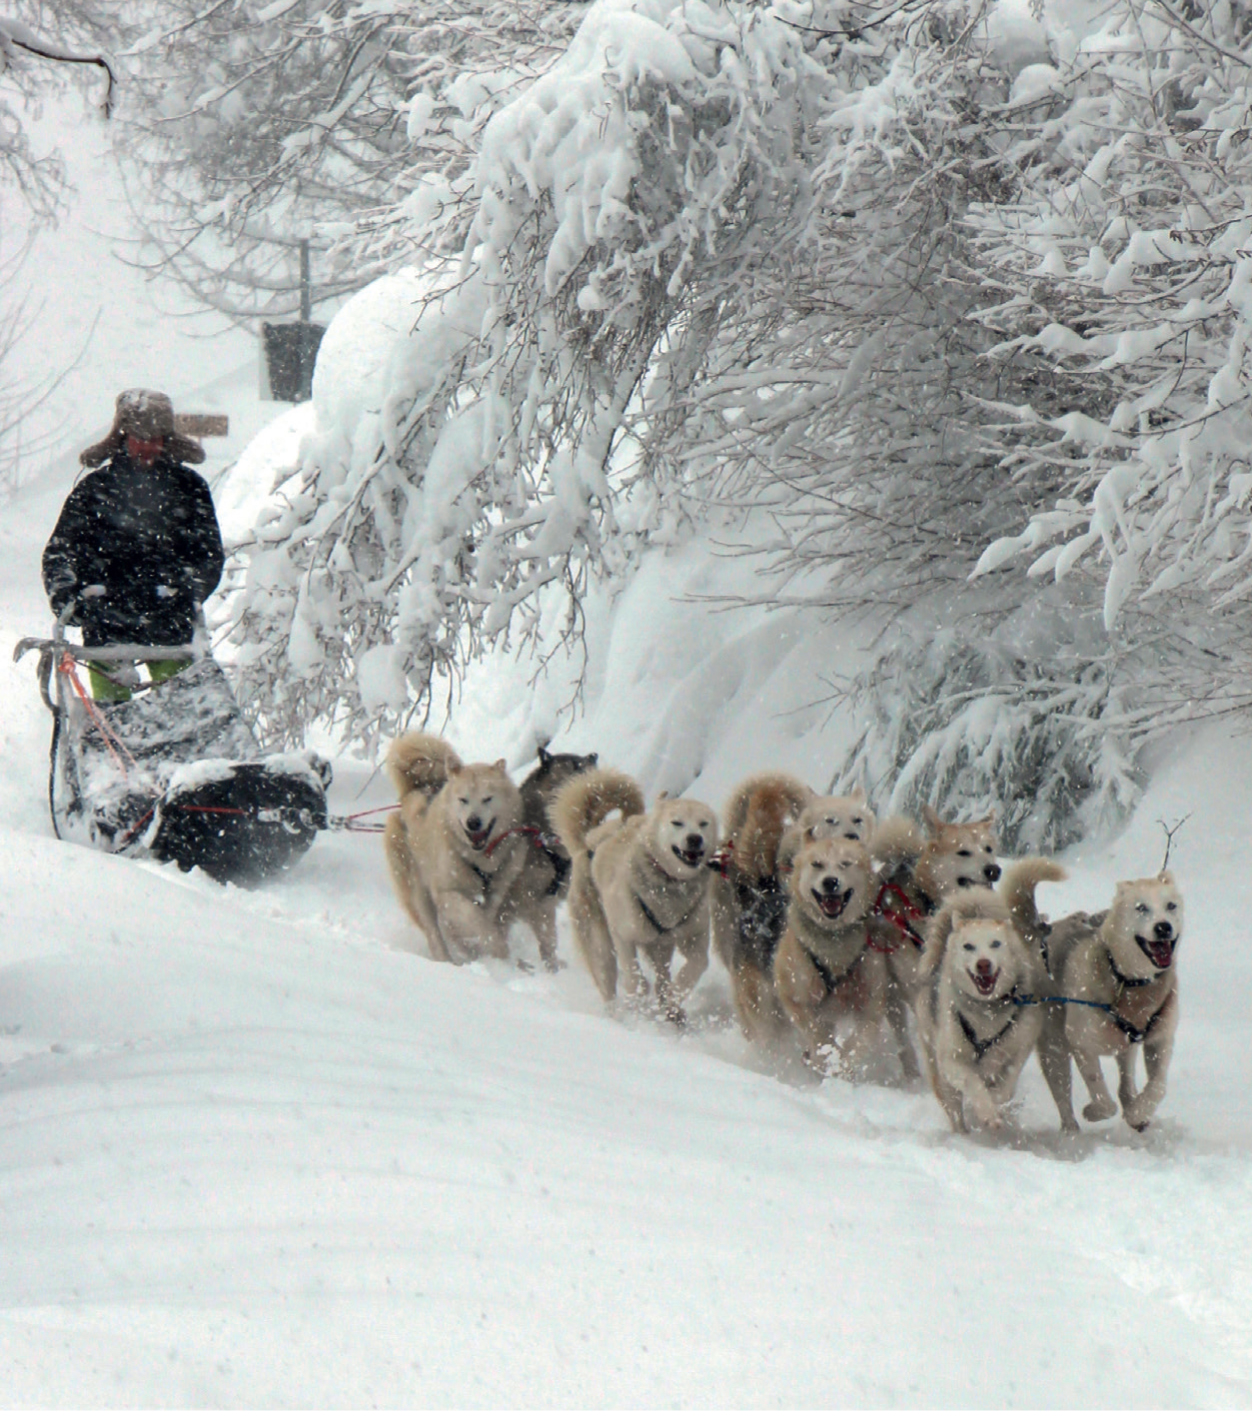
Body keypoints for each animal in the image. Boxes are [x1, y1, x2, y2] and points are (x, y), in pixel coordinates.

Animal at [376, 736, 523, 968]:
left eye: (487, 798)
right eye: (463, 799)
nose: (473, 822)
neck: (480, 860)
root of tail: (416, 789)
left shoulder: (497, 890)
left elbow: (483, 917)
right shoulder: (446, 893)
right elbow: (474, 918)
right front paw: (495, 948)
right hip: (419, 895)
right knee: (434, 934)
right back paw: (446, 960)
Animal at [555, 770, 719, 1025]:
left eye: (703, 823)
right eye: (677, 822)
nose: (694, 838)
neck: (671, 883)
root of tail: (588, 840)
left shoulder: (694, 936)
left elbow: (695, 968)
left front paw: (672, 1003)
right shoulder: (623, 935)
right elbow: (634, 978)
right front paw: (639, 1003)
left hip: (660, 947)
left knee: (662, 976)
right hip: (601, 943)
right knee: (608, 980)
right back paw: (617, 1016)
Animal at [911, 860, 1053, 1127]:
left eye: (995, 943)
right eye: (969, 946)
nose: (983, 964)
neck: (987, 1013)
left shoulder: (1018, 1049)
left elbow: (1005, 1085)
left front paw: (997, 1105)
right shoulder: (953, 1060)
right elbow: (974, 1084)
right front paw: (987, 1112)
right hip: (939, 1068)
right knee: (954, 1107)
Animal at [1008, 860, 1183, 1127]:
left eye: (1171, 905)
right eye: (1141, 907)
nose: (1163, 927)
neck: (1130, 982)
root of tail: (1040, 933)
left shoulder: (1160, 1040)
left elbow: (1157, 1087)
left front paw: (1138, 1113)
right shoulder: (1082, 1044)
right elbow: (1101, 1095)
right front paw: (1095, 1111)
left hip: (1126, 1049)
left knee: (1125, 1084)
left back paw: (1133, 1107)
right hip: (1054, 1049)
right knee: (1063, 1098)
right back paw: (1071, 1129)